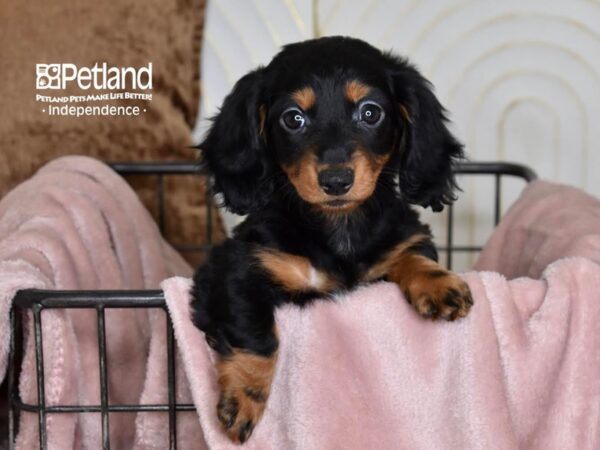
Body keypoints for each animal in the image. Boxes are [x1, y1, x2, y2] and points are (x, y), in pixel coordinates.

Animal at [192, 36, 474, 442]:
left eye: (370, 113)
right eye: (293, 118)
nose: (336, 180)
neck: (338, 226)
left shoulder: (400, 240)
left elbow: (410, 254)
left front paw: (439, 284)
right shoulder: (232, 268)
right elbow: (254, 332)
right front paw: (243, 399)